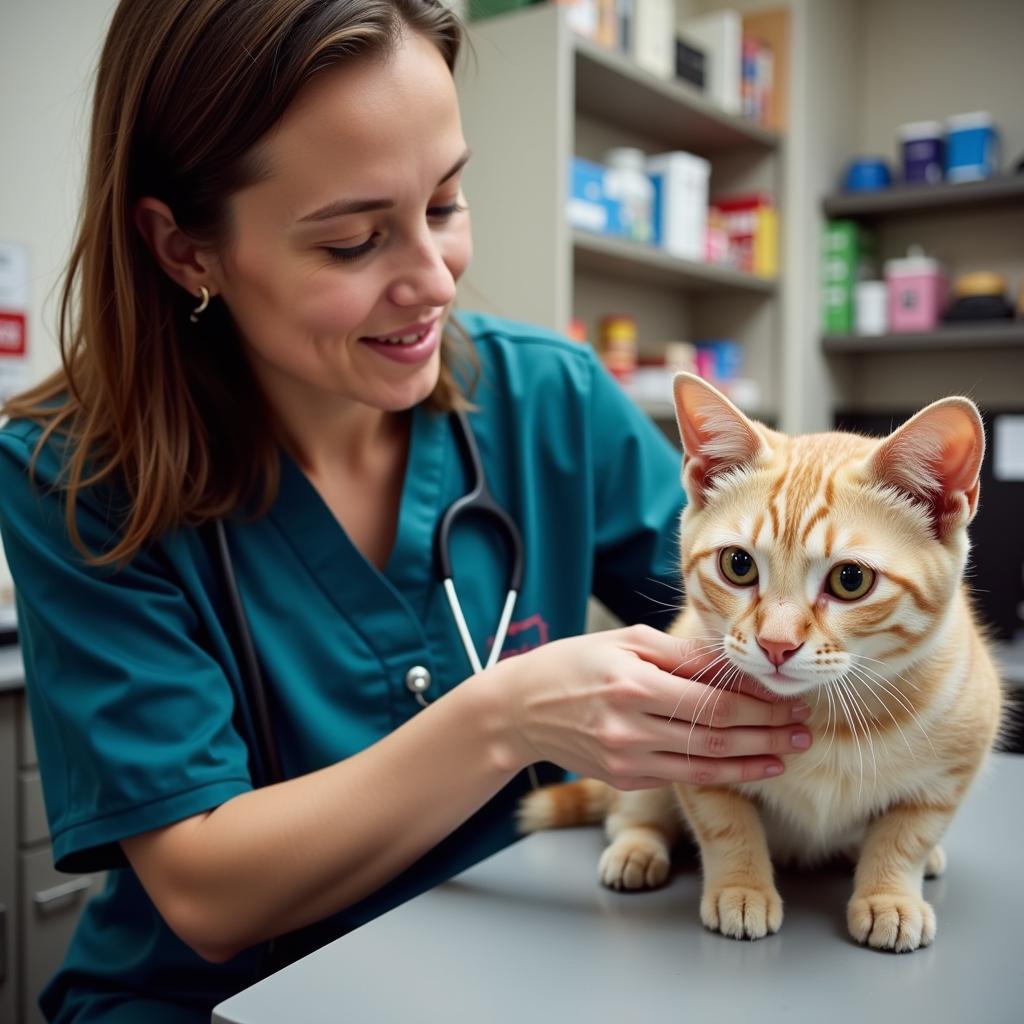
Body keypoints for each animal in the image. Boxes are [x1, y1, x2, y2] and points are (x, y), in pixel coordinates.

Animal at [524, 370, 1003, 950]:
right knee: (629, 811)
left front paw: (889, 895)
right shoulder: (694, 758)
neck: (827, 717)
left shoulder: (954, 768)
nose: (776, 644)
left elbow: (907, 833)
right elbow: (726, 824)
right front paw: (742, 888)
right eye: (738, 565)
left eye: (851, 579)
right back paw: (636, 847)